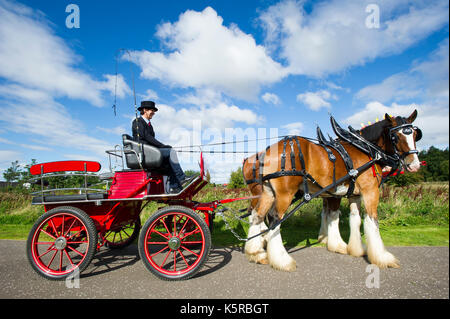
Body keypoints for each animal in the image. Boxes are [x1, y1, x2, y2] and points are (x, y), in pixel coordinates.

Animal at [243, 111, 422, 272]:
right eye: (395, 137)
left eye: (415, 135)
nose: (414, 165)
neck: (365, 149)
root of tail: (266, 152)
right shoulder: (370, 191)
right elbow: (371, 221)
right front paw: (382, 258)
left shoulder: (349, 194)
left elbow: (348, 219)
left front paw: (351, 248)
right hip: (284, 193)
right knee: (274, 218)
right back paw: (282, 260)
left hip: (267, 192)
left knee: (258, 215)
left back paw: (255, 252)